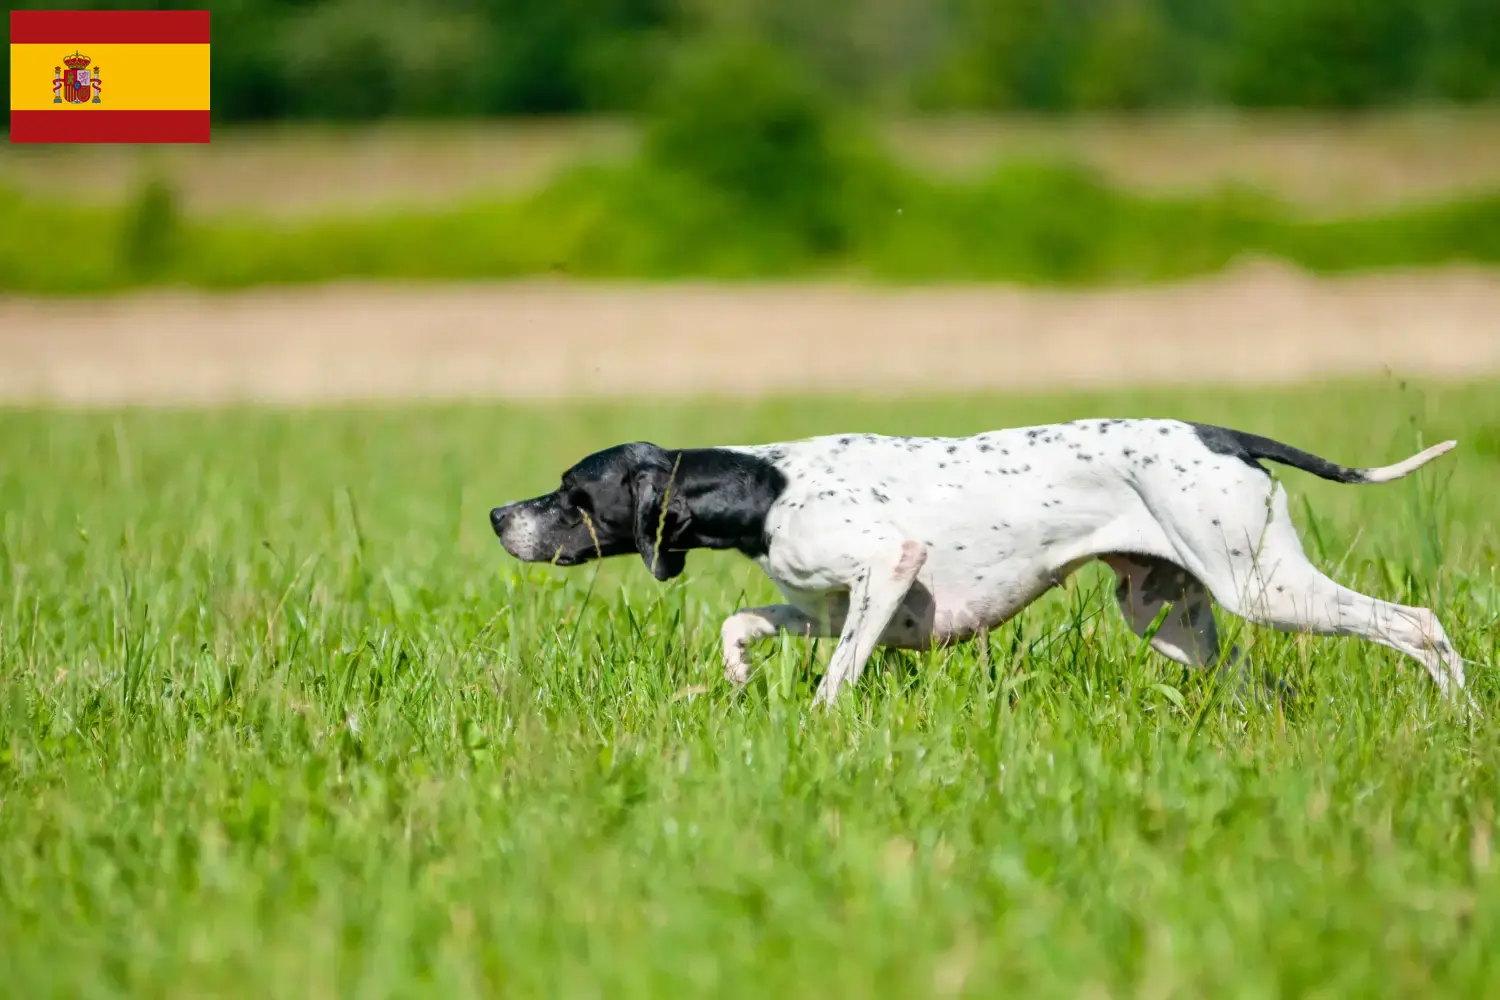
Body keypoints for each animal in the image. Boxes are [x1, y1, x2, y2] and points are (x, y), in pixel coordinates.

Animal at [489, 419, 1464, 707]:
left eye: (572, 493)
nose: (499, 514)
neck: (767, 486)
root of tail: (1222, 434)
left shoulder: (887, 568)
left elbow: (837, 677)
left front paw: (817, 725)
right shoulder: (824, 604)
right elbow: (745, 621)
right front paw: (733, 672)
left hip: (1264, 586)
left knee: (1419, 626)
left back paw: (1456, 713)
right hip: (1174, 620)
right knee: (1269, 686)